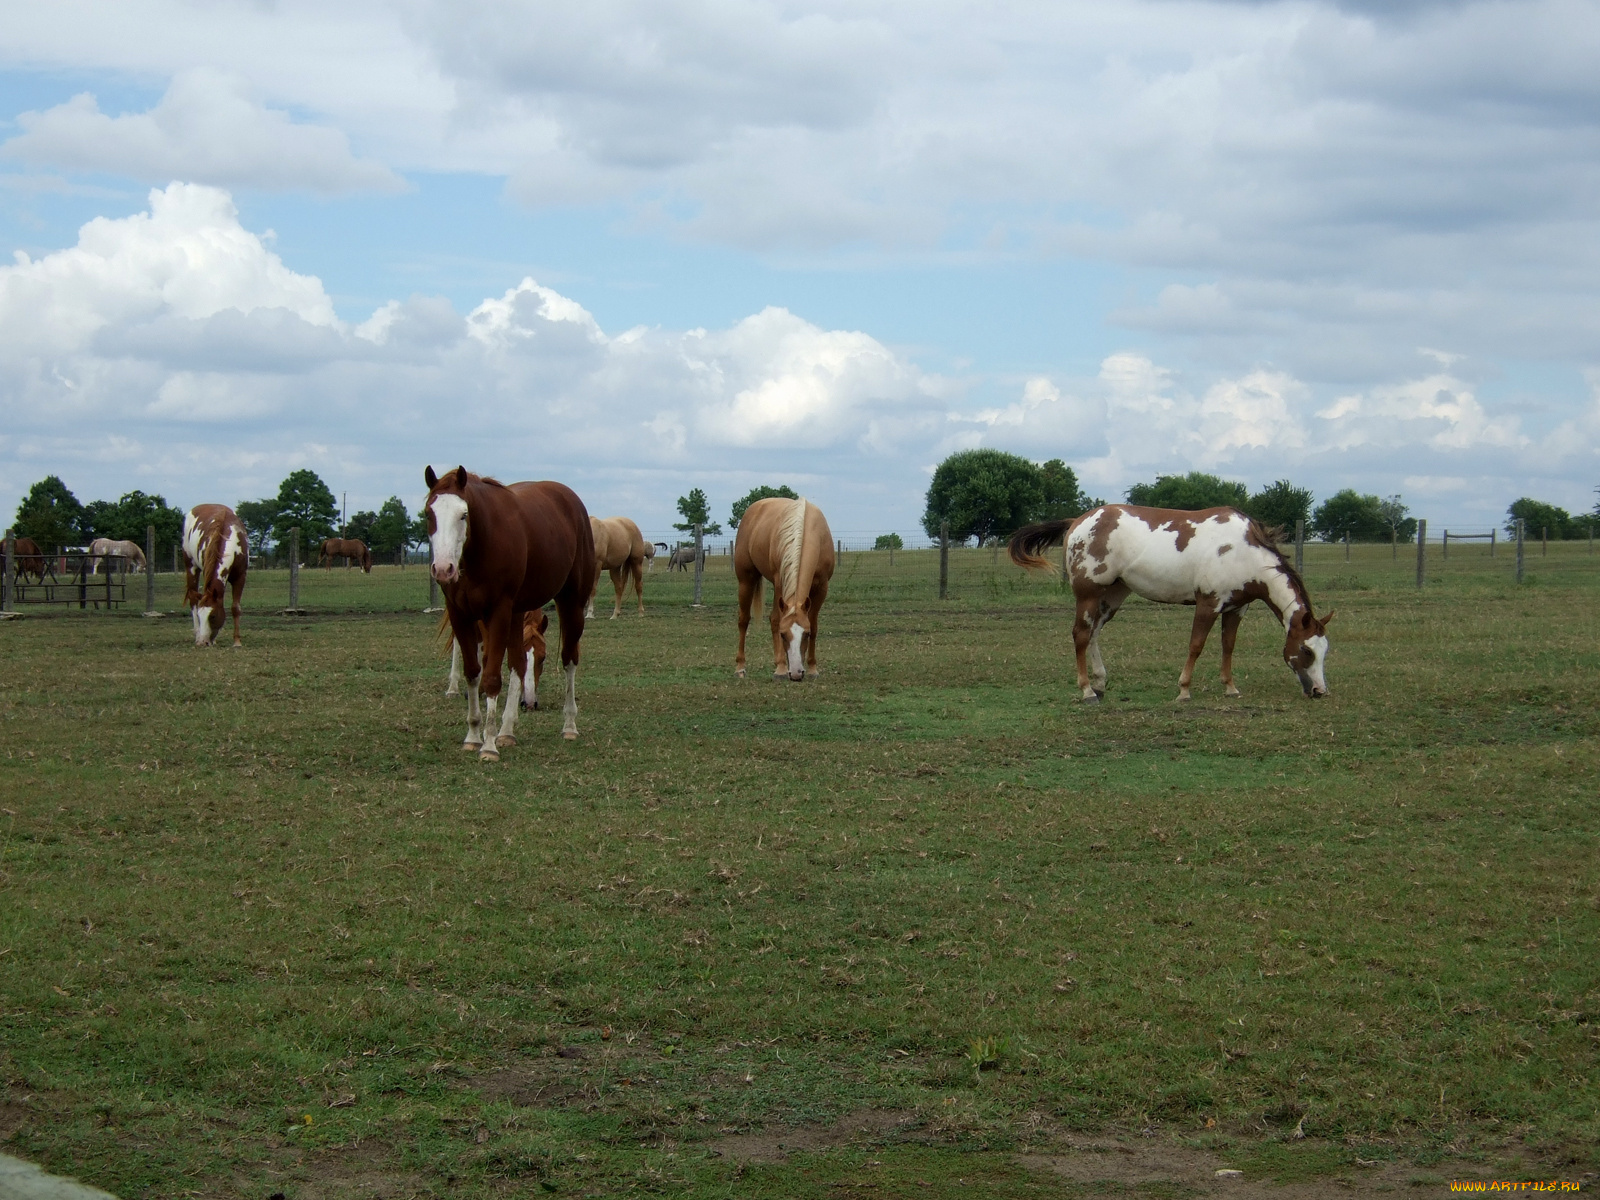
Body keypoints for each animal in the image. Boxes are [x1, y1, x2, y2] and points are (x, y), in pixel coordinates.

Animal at [183, 505, 248, 649]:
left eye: (212, 616)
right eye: (200, 616)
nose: (203, 642)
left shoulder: (240, 577)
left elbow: (235, 608)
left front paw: (237, 642)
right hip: (191, 567)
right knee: (193, 600)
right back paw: (197, 635)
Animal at [422, 464, 598, 764]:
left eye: (463, 514)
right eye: (429, 514)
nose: (444, 569)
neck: (480, 548)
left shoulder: (499, 612)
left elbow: (492, 677)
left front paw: (489, 745)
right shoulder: (461, 614)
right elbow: (474, 672)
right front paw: (474, 735)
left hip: (571, 603)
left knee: (570, 660)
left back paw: (569, 725)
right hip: (517, 613)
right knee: (517, 662)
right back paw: (507, 731)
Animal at [732, 496, 838, 681]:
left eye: (806, 634)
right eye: (783, 635)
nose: (796, 673)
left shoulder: (822, 588)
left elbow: (814, 623)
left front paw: (813, 668)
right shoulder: (779, 583)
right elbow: (776, 620)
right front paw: (780, 668)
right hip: (746, 579)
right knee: (744, 620)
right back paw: (741, 667)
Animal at [1011, 505, 1337, 704]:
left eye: (1324, 650)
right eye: (1306, 650)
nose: (1319, 690)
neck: (1242, 551)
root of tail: (1078, 521)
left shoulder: (1235, 608)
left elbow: (1228, 646)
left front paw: (1230, 687)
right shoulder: (1208, 604)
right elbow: (1196, 645)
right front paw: (1183, 691)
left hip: (1112, 596)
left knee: (1093, 634)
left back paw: (1100, 684)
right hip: (1089, 595)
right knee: (1080, 635)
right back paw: (1088, 690)